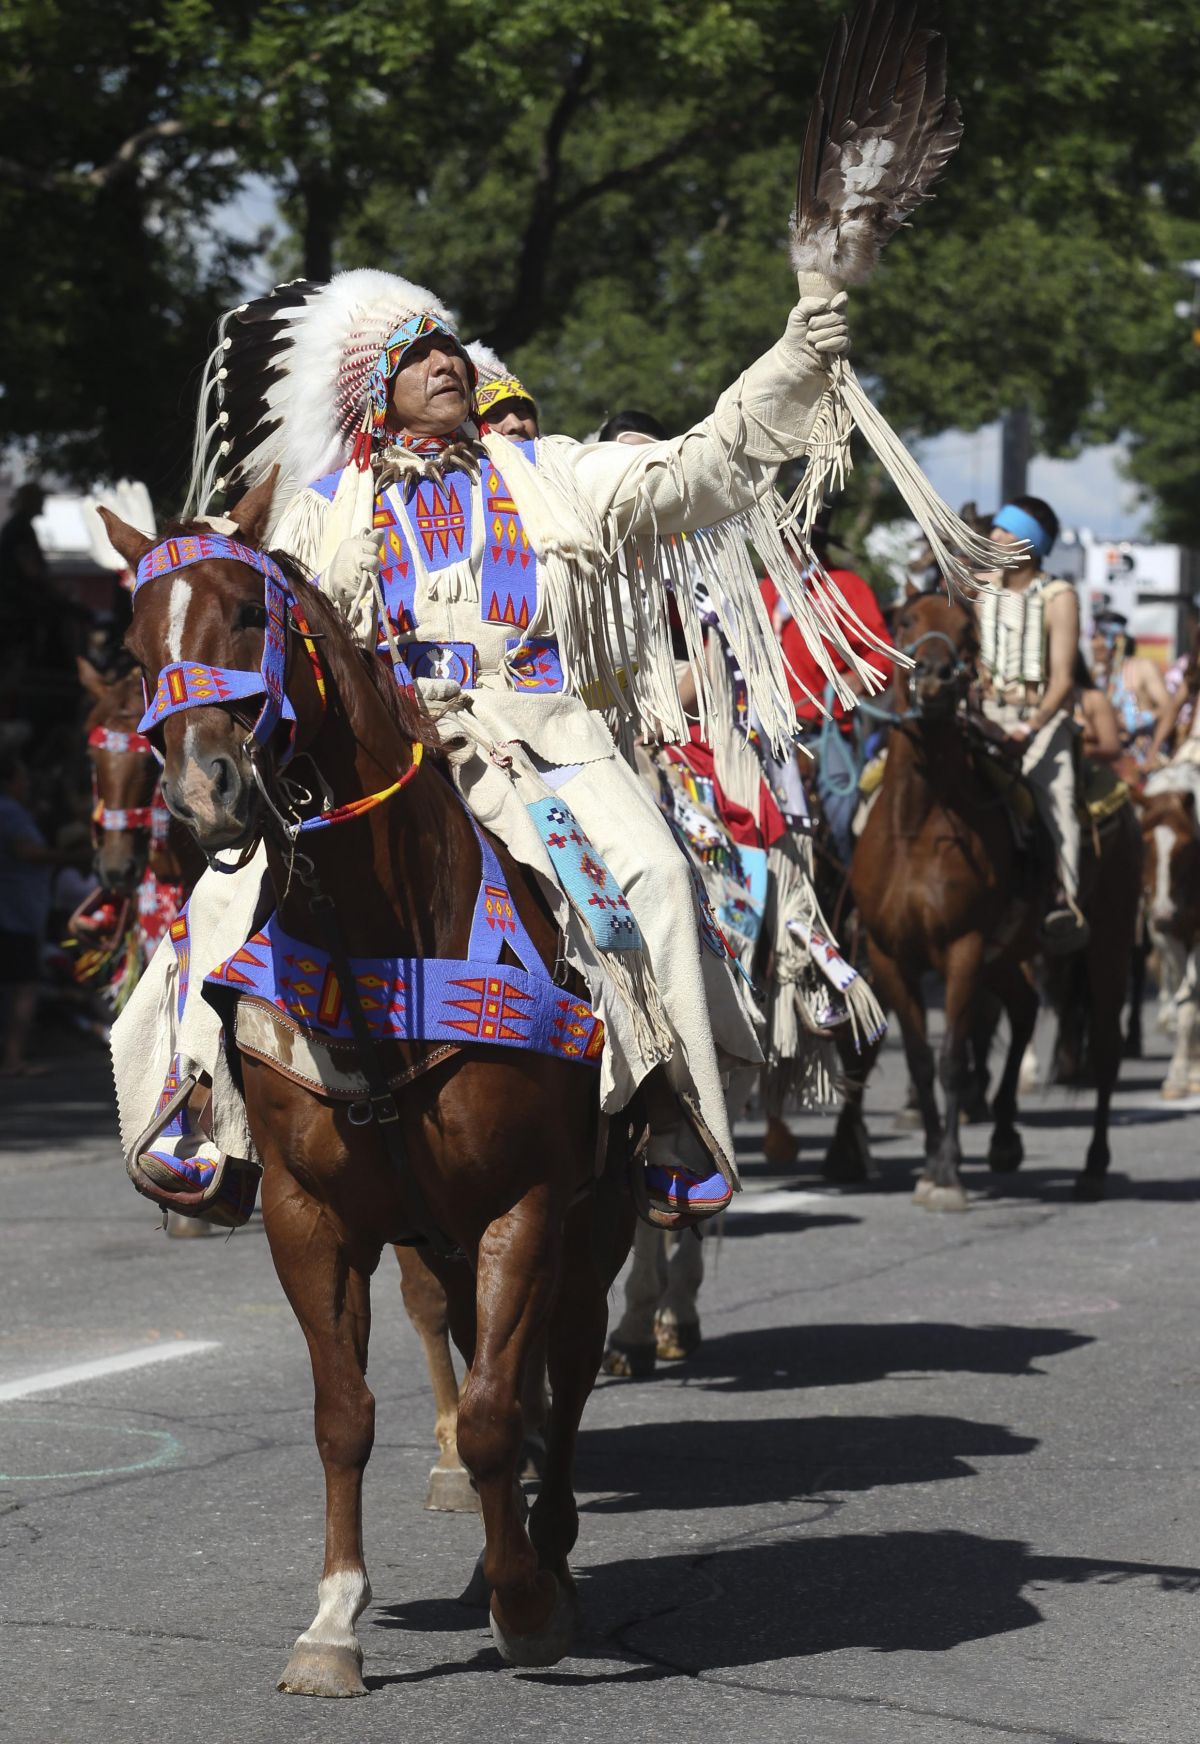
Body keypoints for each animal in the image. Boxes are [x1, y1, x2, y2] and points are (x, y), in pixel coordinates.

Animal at [102, 477, 631, 1688]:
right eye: (137, 650)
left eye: (251, 613)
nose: (205, 795)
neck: (383, 956)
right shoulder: (312, 1215)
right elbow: (345, 1412)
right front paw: (334, 1620)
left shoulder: (527, 1202)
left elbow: (494, 1415)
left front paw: (528, 1604)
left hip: (602, 1212)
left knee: (570, 1361)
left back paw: (550, 1550)